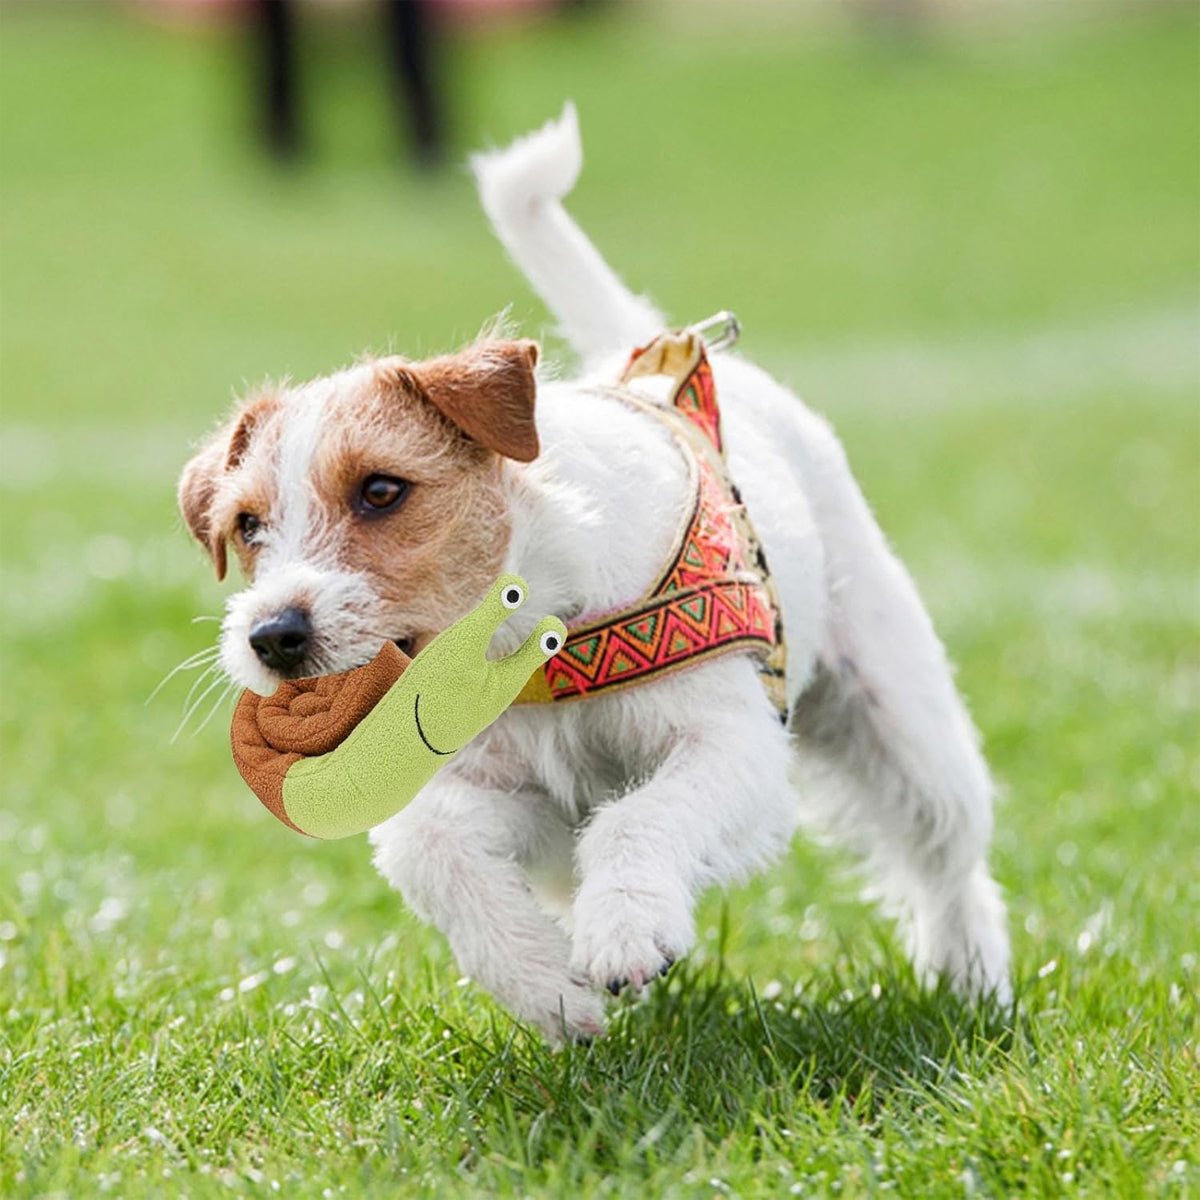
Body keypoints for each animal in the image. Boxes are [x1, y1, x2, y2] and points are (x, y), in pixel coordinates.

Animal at [177, 105, 1012, 1041]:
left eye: (382, 489)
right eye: (247, 525)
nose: (272, 636)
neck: (528, 639)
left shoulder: (731, 744)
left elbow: (638, 818)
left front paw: (624, 933)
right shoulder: (500, 791)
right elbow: (433, 849)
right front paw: (549, 986)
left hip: (902, 718)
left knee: (949, 858)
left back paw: (971, 979)